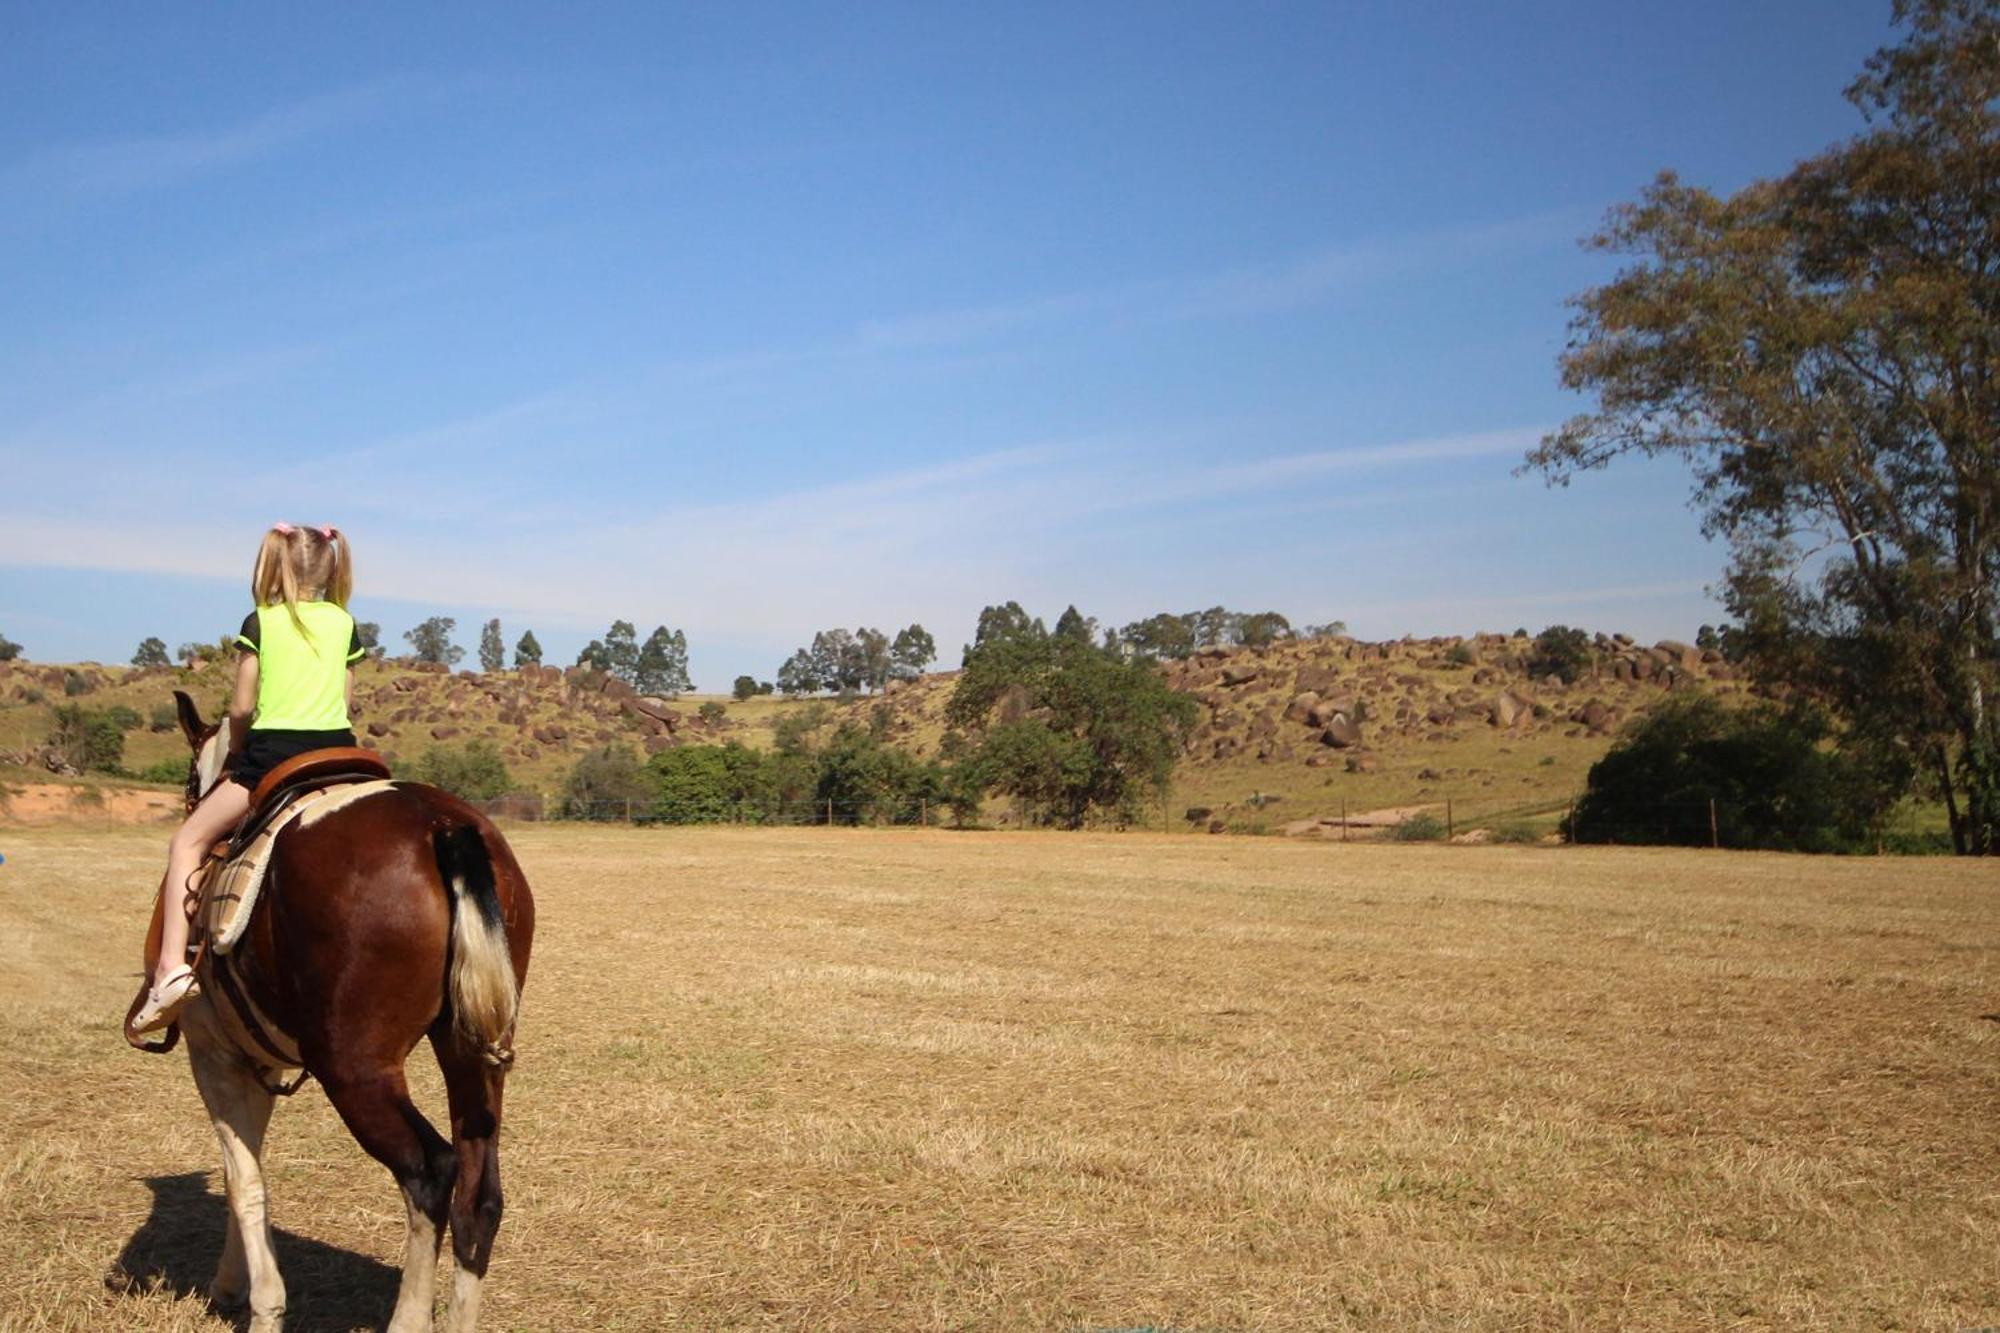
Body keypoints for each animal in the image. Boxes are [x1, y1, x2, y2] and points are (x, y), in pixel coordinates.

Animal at [147, 696, 532, 1328]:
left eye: (187, 783)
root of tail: (442, 826)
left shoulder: (214, 1055)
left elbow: (243, 1180)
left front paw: (262, 1304)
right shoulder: (259, 1061)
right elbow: (246, 1169)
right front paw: (232, 1282)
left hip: (354, 1070)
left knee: (431, 1171)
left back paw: (407, 1317)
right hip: (474, 1054)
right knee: (480, 1194)